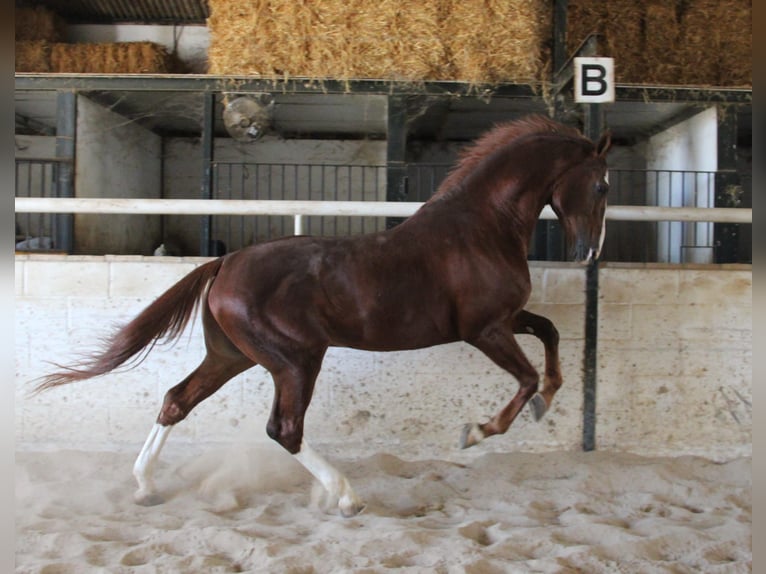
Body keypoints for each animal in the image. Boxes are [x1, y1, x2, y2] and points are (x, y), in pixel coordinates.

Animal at [34, 114, 612, 517]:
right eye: (603, 185)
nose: (589, 252)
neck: (482, 227)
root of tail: (225, 263)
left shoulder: (506, 319)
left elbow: (550, 332)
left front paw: (548, 398)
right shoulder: (483, 329)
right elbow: (525, 375)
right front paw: (480, 430)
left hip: (233, 358)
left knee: (177, 400)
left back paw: (146, 487)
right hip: (295, 361)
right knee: (283, 429)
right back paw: (346, 497)